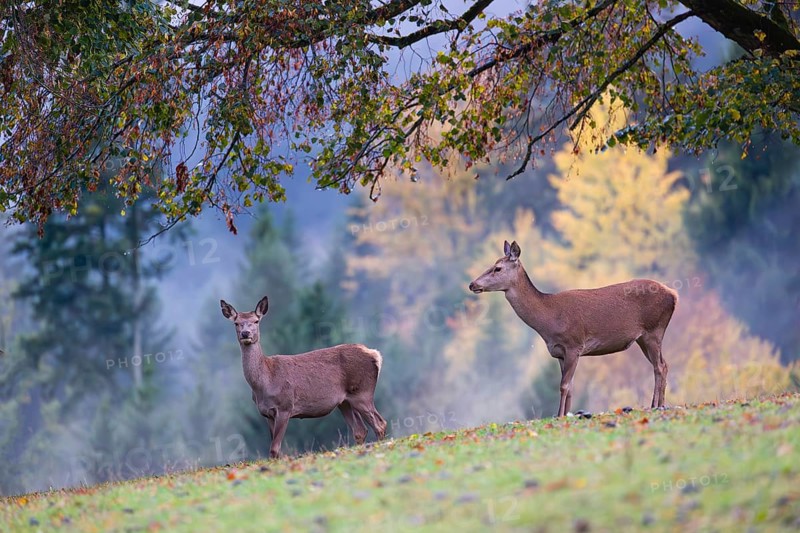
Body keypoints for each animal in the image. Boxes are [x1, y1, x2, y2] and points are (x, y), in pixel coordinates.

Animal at [220, 296, 387, 458]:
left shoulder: (285, 406)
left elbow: (274, 449)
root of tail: (375, 354)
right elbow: (275, 450)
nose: (245, 333)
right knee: (360, 430)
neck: (265, 382)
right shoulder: (267, 414)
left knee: (380, 423)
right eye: (236, 323)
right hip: (345, 401)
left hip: (362, 392)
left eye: (256, 321)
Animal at [468, 240, 678, 418]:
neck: (548, 321)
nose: (472, 284)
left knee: (659, 366)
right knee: (664, 364)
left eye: (497, 268)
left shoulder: (574, 345)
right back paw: (657, 404)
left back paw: (656, 405)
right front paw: (566, 413)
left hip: (654, 329)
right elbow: (569, 387)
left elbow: (563, 385)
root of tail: (674, 294)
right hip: (643, 338)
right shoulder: (560, 353)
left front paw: (560, 415)